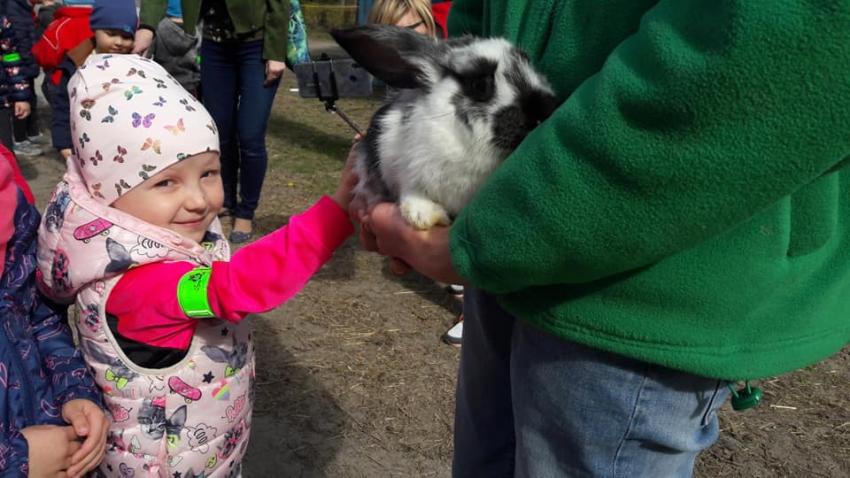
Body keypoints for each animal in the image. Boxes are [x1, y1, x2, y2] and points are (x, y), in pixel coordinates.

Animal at [331, 25, 558, 229]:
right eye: (480, 85)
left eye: (531, 66)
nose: (544, 110)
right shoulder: (401, 167)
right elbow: (412, 192)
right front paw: (424, 215)